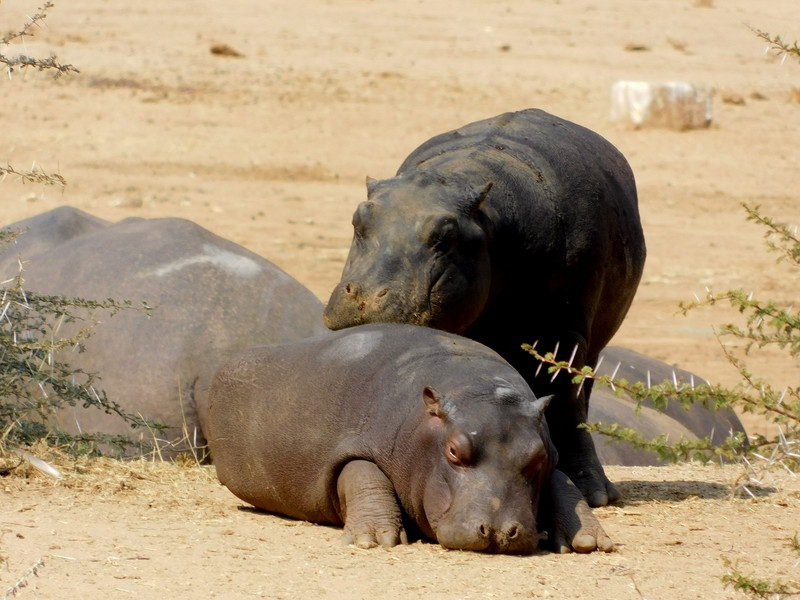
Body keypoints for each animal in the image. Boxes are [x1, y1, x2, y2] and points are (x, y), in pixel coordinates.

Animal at [206, 326, 612, 556]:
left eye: (537, 456)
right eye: (453, 450)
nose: (498, 531)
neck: (476, 388)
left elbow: (564, 483)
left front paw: (590, 542)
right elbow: (363, 475)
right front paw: (375, 540)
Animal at [322, 109, 648, 506]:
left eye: (445, 235)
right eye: (359, 218)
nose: (367, 296)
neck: (491, 224)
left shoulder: (566, 332)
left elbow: (567, 405)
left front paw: (593, 493)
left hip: (592, 343)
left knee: (579, 396)